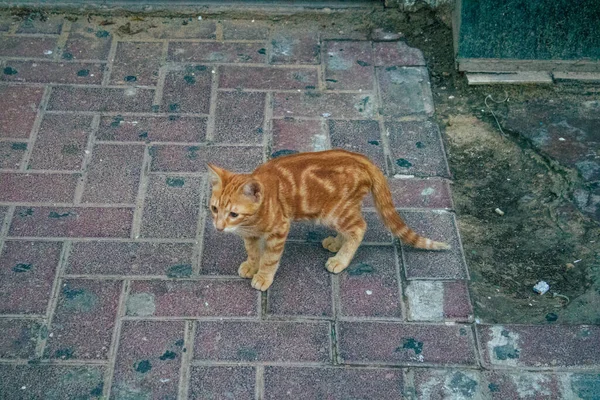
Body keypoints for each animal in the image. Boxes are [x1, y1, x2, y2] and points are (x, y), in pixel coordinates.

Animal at [209, 149, 448, 290]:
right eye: (214, 208)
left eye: (233, 214)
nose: (218, 227)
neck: (251, 223)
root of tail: (363, 159)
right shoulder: (250, 235)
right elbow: (253, 252)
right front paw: (252, 265)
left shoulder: (279, 231)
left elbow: (269, 259)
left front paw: (263, 276)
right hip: (342, 210)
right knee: (351, 228)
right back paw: (336, 243)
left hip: (335, 212)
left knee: (359, 227)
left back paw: (340, 260)